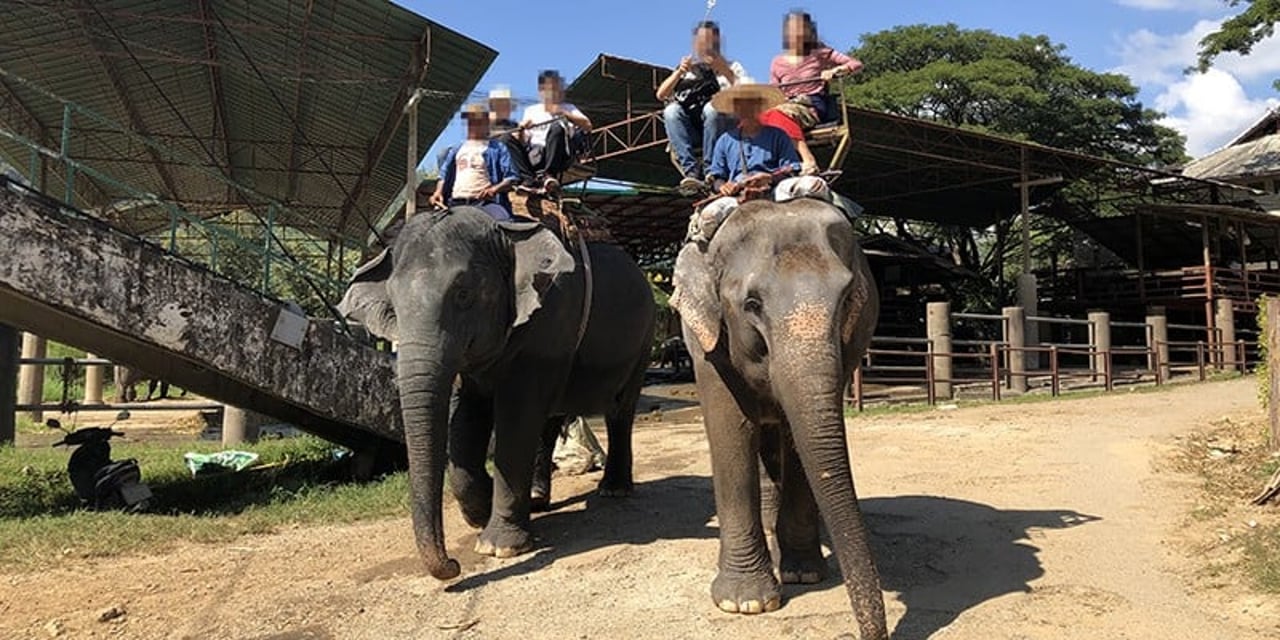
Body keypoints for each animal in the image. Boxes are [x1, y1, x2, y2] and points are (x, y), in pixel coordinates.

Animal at [340, 206, 655, 581]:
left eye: (463, 294)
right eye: (394, 307)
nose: (453, 565)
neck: (503, 232)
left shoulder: (549, 322)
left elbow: (516, 418)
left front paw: (499, 546)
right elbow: (465, 420)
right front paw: (482, 512)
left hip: (644, 341)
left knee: (619, 410)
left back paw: (614, 490)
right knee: (550, 420)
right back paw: (536, 499)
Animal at [670, 197, 890, 637]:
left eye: (846, 301)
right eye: (751, 305)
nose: (860, 632)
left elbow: (798, 436)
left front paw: (804, 575)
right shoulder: (706, 341)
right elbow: (731, 428)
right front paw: (746, 603)